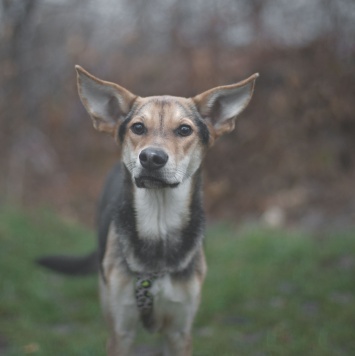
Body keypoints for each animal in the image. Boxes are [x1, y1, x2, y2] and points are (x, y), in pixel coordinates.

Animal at [39, 65, 258, 354]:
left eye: (185, 129)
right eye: (138, 127)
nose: (152, 157)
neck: (159, 224)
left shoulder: (179, 330)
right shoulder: (120, 331)